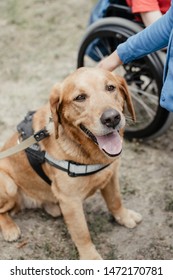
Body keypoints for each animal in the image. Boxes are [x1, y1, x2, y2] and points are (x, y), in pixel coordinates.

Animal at [0, 66, 141, 260]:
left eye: (111, 88)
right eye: (80, 97)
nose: (112, 118)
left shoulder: (111, 176)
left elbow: (115, 201)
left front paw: (124, 217)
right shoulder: (71, 200)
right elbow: (82, 233)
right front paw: (90, 258)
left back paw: (52, 207)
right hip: (8, 184)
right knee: (1, 212)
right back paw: (10, 229)